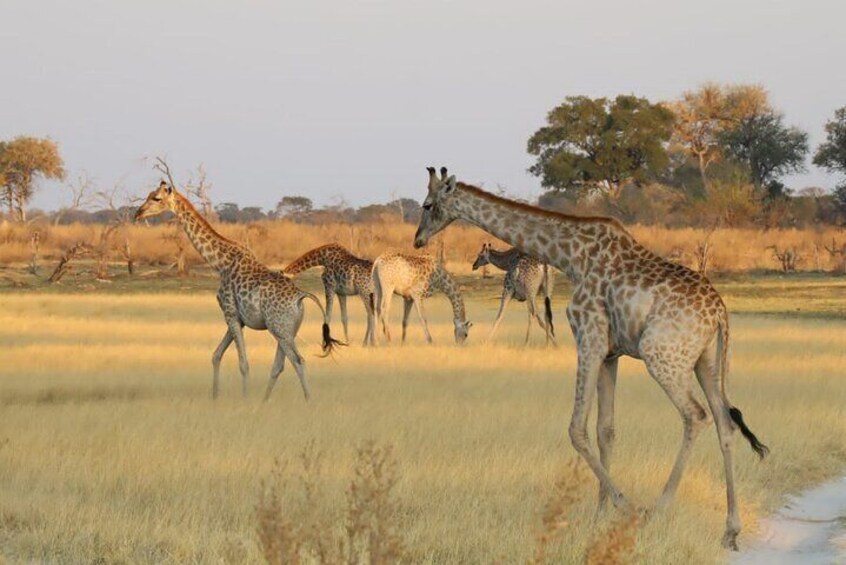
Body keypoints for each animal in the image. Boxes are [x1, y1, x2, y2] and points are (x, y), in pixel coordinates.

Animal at [136, 176, 342, 400]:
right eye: (148, 195)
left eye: (156, 198)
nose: (137, 213)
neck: (220, 263)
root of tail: (301, 296)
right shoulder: (237, 318)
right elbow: (216, 355)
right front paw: (215, 397)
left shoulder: (230, 313)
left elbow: (243, 363)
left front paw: (244, 399)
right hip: (287, 329)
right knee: (279, 365)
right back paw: (264, 401)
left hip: (280, 328)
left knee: (298, 361)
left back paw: (308, 401)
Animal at [414, 165, 772, 548]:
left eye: (427, 204)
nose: (417, 240)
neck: (570, 256)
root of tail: (720, 313)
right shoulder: (610, 354)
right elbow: (606, 430)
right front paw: (599, 514)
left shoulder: (588, 338)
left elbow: (576, 429)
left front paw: (623, 507)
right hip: (706, 362)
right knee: (724, 421)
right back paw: (730, 530)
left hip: (662, 356)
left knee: (695, 415)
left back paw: (657, 510)